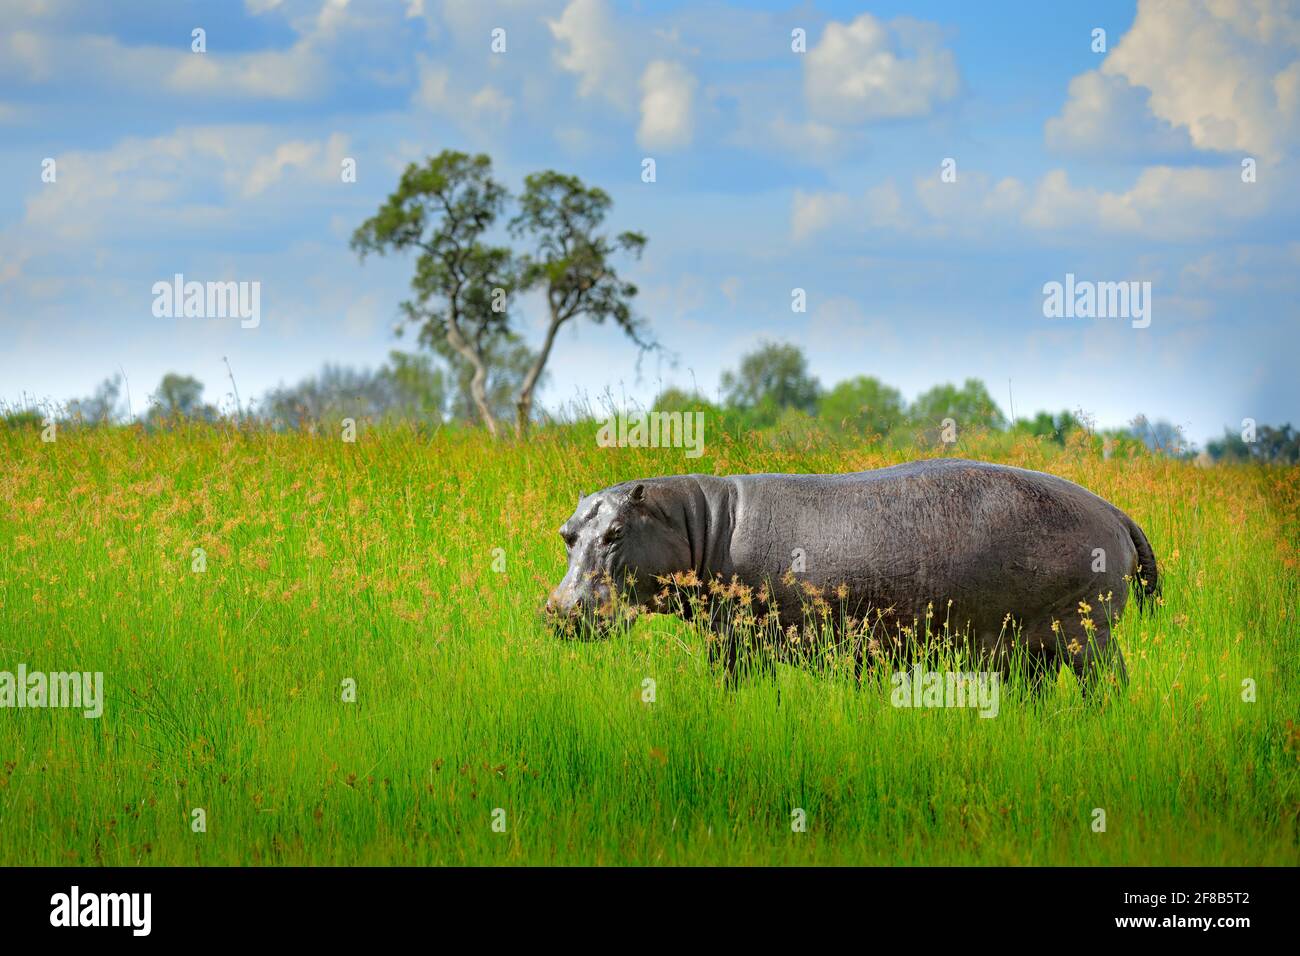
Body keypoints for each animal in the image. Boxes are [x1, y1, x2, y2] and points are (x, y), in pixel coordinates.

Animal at [545, 458, 1160, 690]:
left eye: (616, 533)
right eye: (567, 532)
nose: (561, 610)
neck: (699, 522)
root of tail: (1116, 511)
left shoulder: (738, 640)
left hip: (1087, 635)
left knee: (1110, 685)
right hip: (1031, 648)